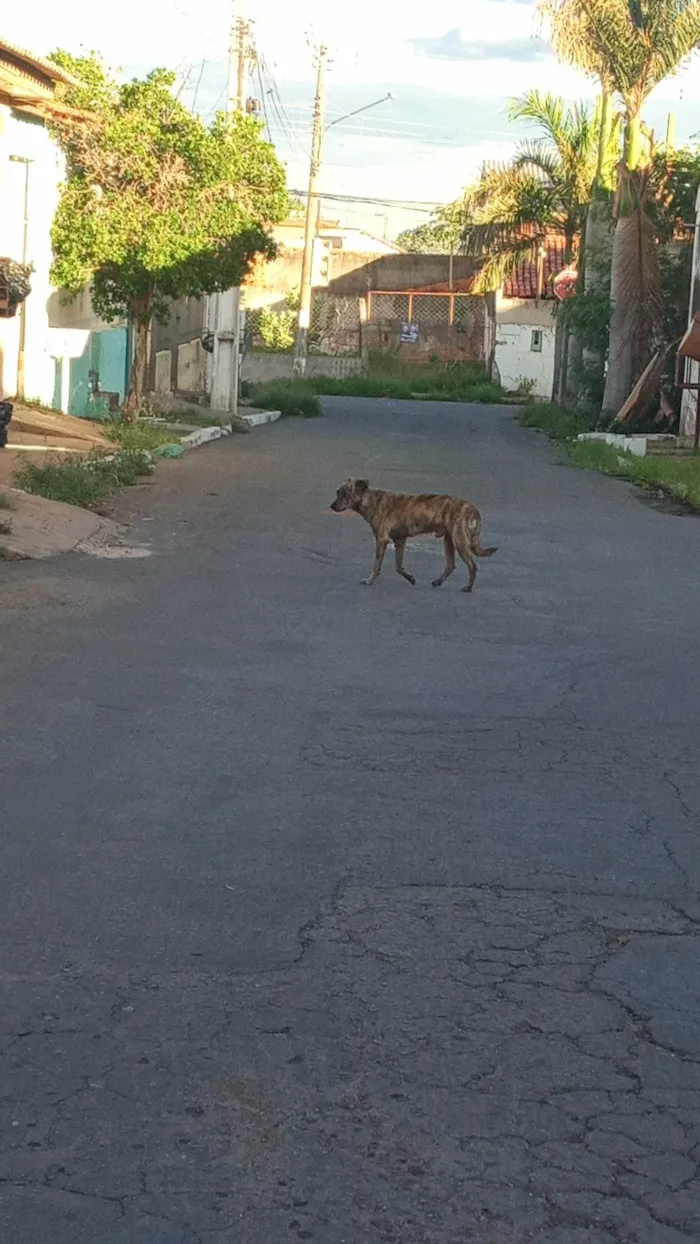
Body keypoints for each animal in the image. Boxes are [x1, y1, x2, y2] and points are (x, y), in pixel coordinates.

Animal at [330, 475, 497, 592]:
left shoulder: (382, 540)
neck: (370, 500)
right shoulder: (400, 540)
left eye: (343, 493)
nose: (331, 506)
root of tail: (473, 509)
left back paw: (468, 588)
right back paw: (438, 581)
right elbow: (398, 566)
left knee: (472, 566)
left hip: (460, 541)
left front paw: (370, 580)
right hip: (449, 540)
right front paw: (410, 578)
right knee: (451, 565)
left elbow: (377, 564)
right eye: (338, 492)